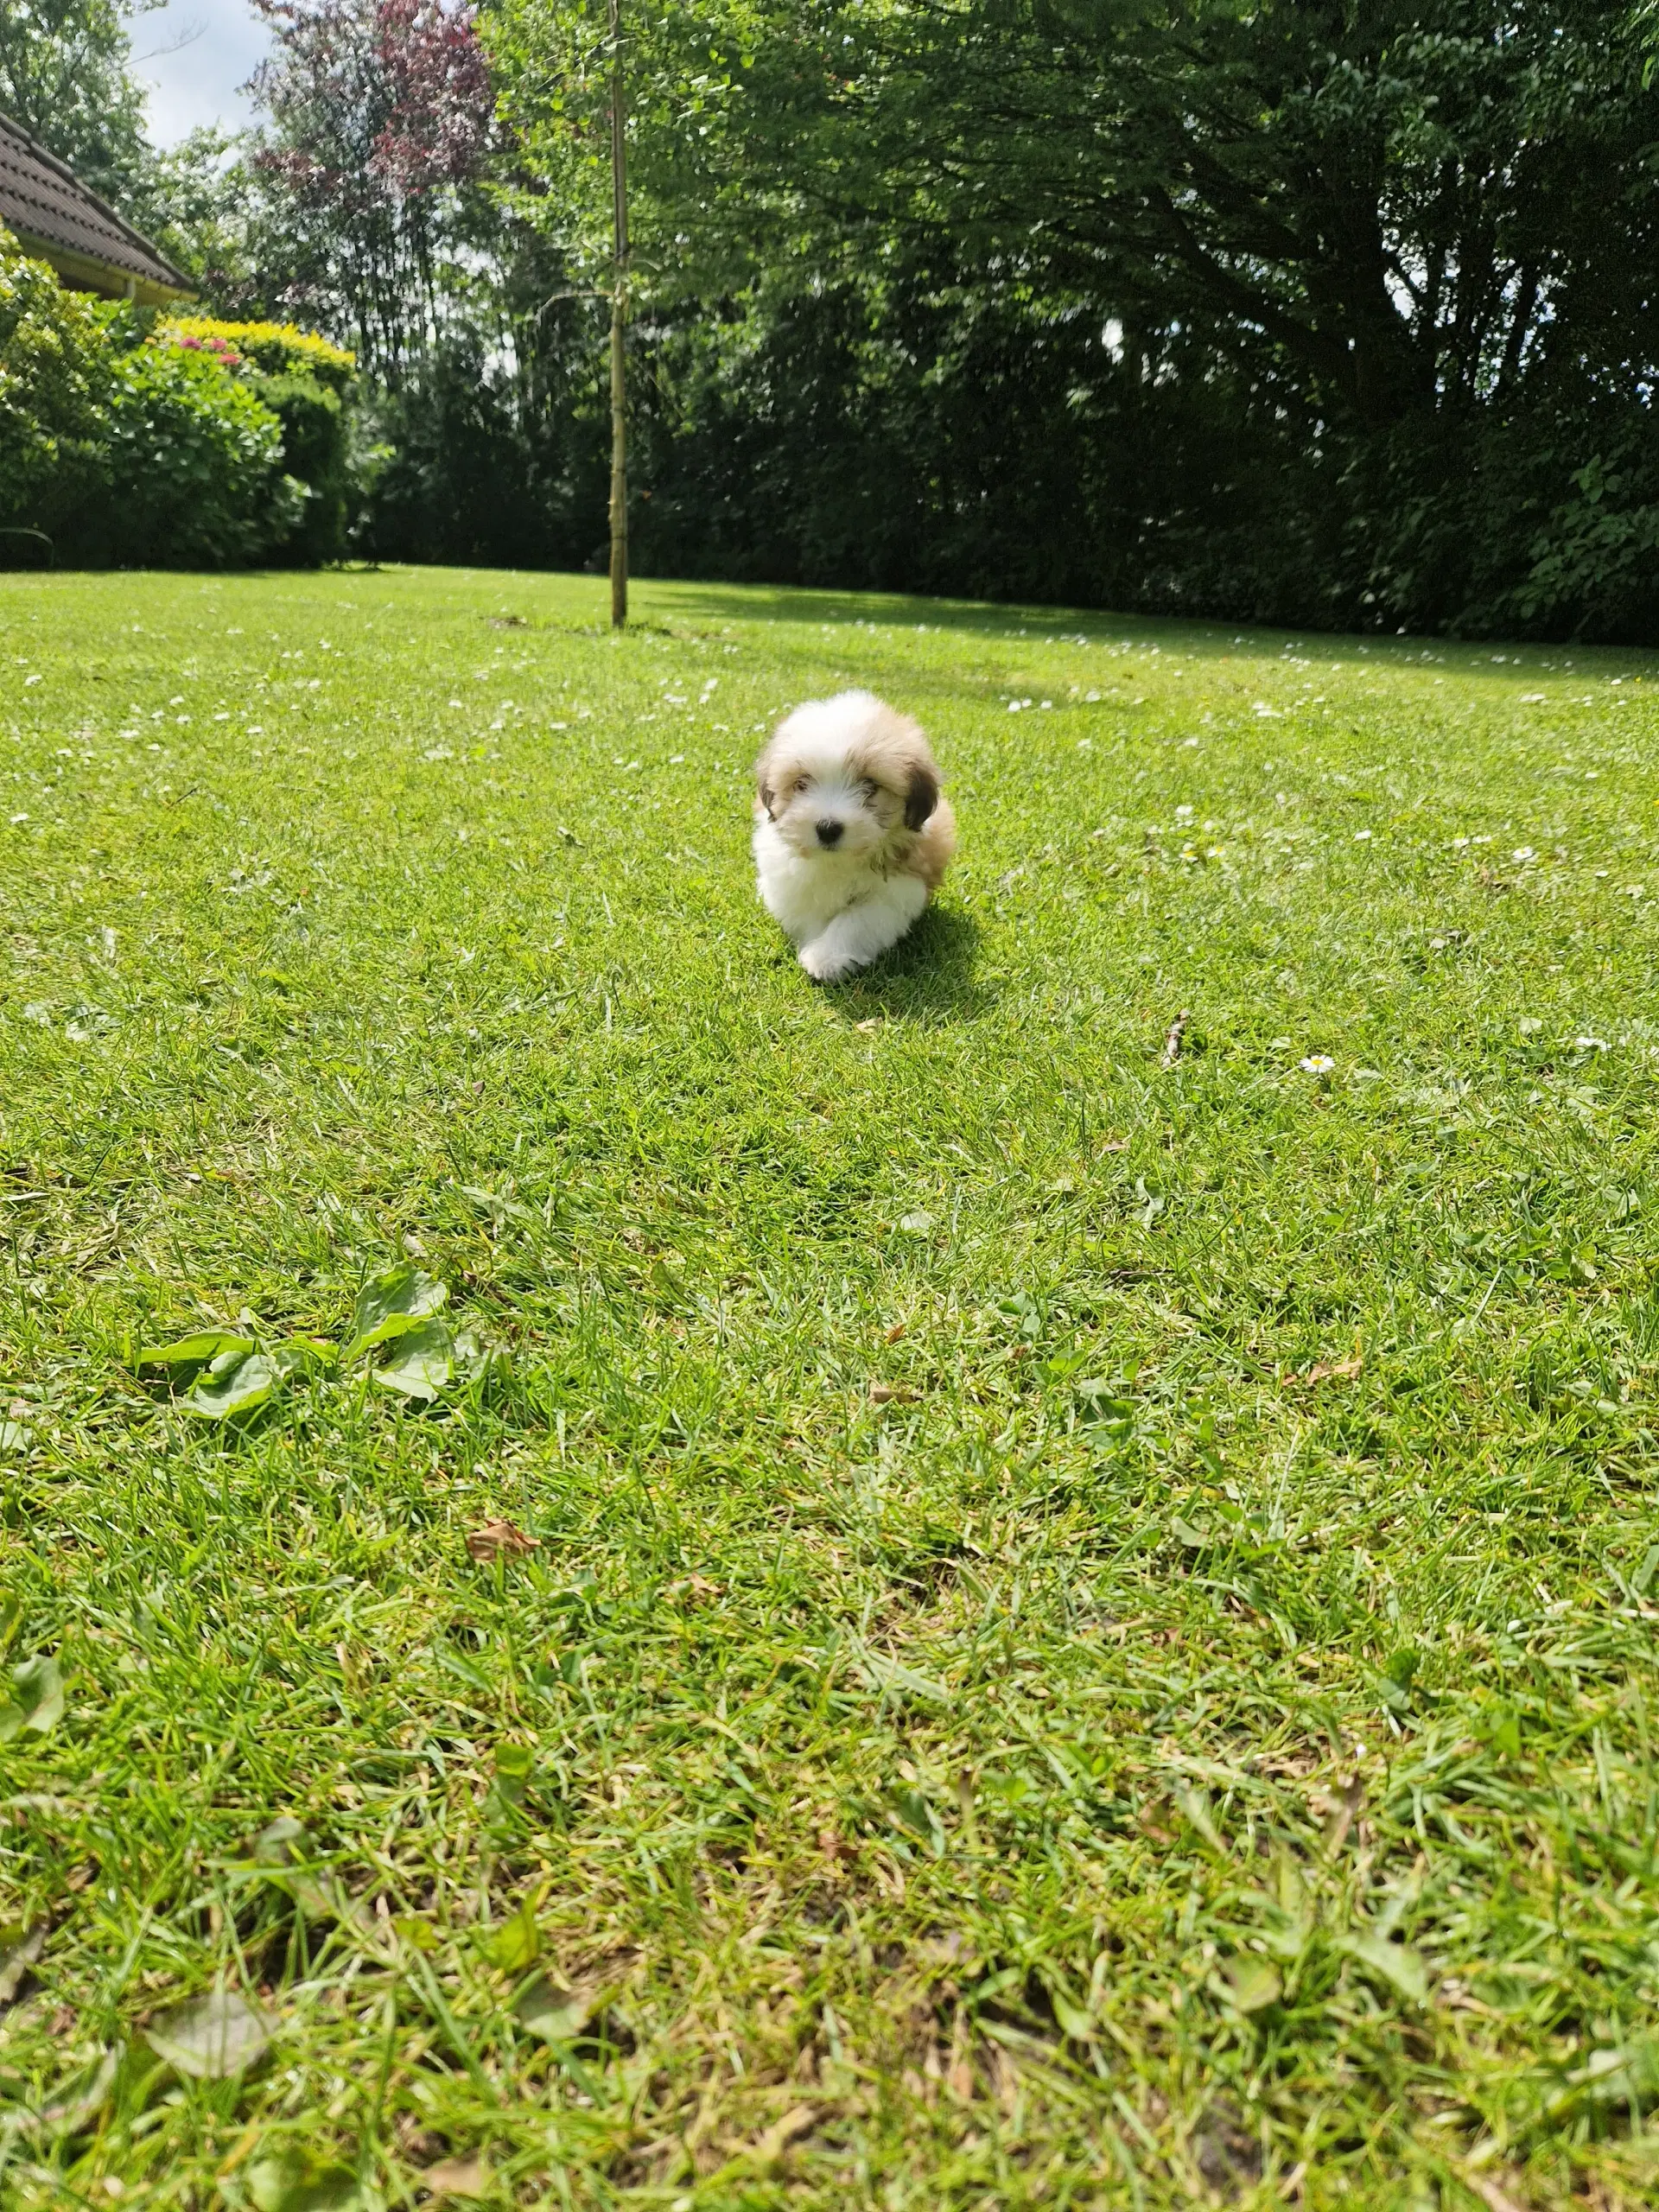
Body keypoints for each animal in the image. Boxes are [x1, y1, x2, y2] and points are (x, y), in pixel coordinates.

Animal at [756, 681, 960, 977]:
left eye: (870, 786)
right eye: (801, 784)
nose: (827, 828)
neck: (838, 862)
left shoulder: (897, 887)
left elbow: (857, 920)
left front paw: (826, 956)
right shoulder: (790, 882)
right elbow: (807, 910)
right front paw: (814, 944)